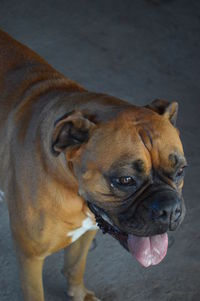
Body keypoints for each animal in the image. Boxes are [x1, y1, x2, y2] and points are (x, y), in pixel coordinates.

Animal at [0, 28, 187, 300]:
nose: (170, 209)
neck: (70, 185)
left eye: (180, 171)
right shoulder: (30, 257)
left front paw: (78, 293)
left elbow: (75, 266)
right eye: (125, 180)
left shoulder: (88, 229)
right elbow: (36, 292)